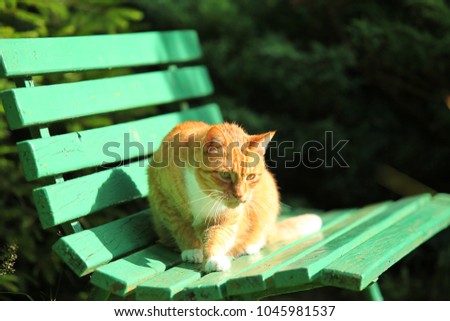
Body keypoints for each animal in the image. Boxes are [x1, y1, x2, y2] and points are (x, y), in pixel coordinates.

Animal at [149, 121, 322, 272]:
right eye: (225, 175)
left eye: (251, 177)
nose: (240, 196)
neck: (204, 192)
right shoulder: (164, 200)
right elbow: (180, 228)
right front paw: (192, 249)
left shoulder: (225, 218)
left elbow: (217, 237)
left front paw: (214, 258)